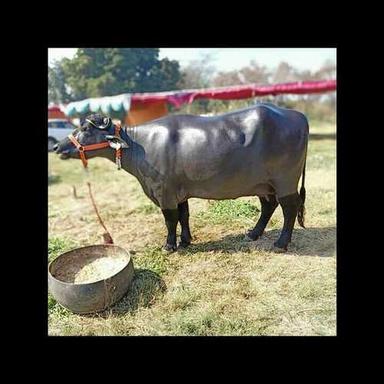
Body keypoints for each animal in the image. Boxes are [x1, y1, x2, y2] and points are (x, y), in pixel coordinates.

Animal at [54, 103, 308, 252]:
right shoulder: (179, 191)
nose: (57, 146)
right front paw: (185, 240)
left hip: (285, 180)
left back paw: (281, 243)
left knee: (289, 208)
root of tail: (297, 115)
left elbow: (170, 219)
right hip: (263, 183)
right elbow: (184, 215)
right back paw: (253, 234)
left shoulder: (163, 192)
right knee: (269, 205)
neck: (139, 146)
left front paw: (169, 245)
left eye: (86, 129)